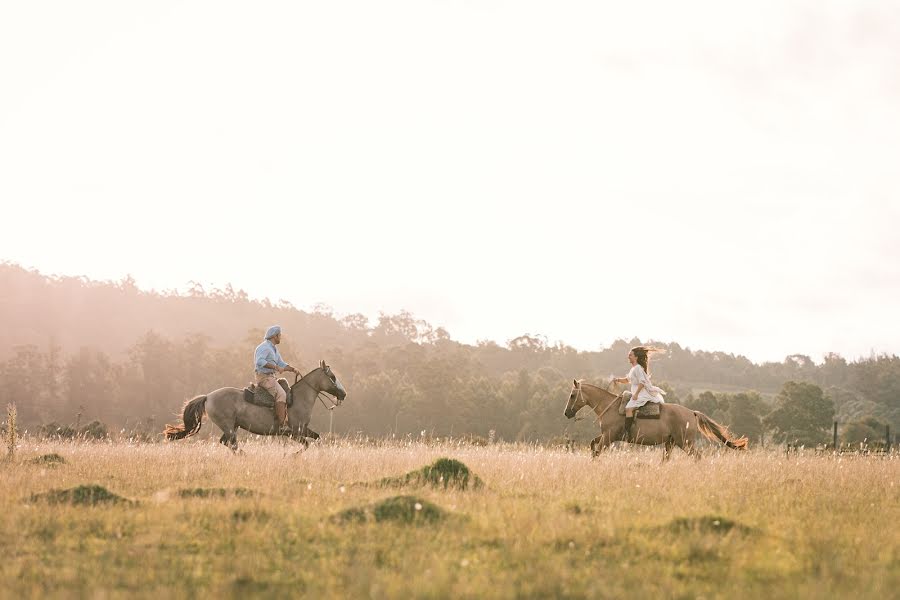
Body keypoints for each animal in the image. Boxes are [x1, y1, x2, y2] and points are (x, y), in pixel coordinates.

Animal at [163, 360, 346, 450]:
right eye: (333, 377)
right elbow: (307, 444)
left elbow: (317, 438)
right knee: (232, 444)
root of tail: (208, 397)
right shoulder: (294, 432)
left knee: (226, 443)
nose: (343, 394)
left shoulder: (302, 430)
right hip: (228, 426)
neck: (299, 399)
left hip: (232, 426)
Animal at [564, 380, 744, 460]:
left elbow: (597, 451)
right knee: (667, 459)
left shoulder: (608, 437)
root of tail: (692, 413)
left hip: (685, 442)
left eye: (572, 395)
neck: (610, 406)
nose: (566, 413)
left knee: (697, 456)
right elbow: (592, 444)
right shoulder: (606, 436)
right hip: (671, 442)